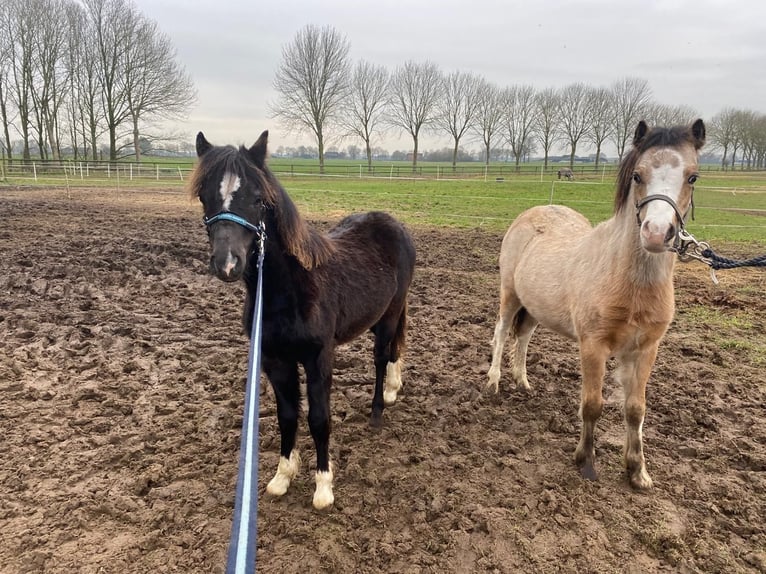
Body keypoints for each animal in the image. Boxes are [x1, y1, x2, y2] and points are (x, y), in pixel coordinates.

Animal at [192, 133, 420, 510]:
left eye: (258, 199)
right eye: (204, 196)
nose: (227, 264)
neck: (290, 291)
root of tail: (394, 224)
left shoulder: (318, 358)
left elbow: (318, 418)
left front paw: (323, 486)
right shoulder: (274, 361)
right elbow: (287, 416)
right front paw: (283, 477)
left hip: (389, 315)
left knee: (382, 356)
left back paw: (377, 410)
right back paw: (391, 391)